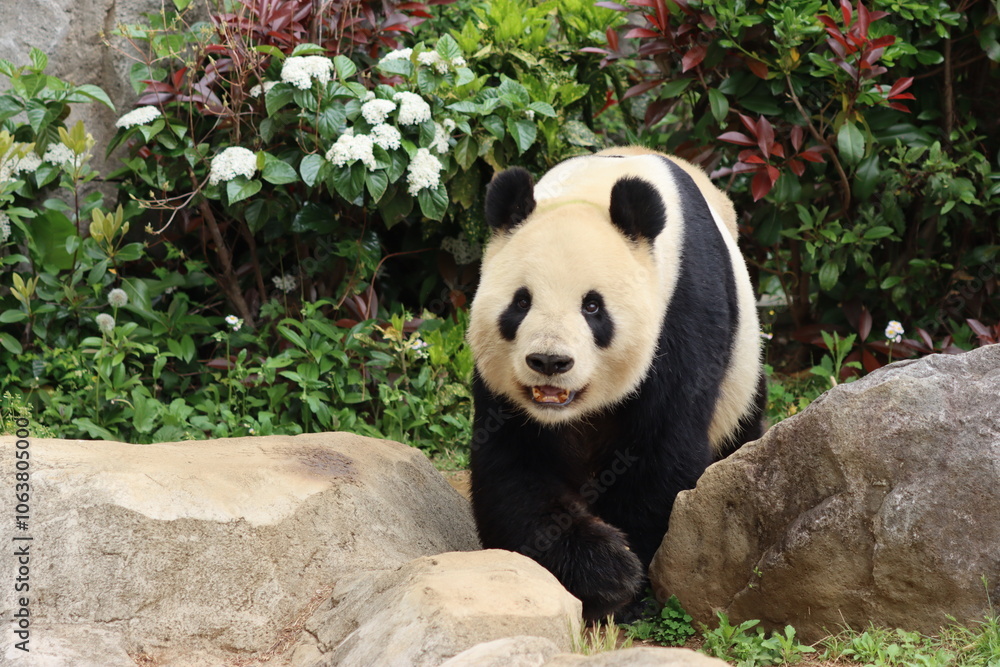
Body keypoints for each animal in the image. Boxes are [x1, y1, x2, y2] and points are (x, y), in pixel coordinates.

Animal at [466, 146, 766, 622]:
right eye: (521, 302)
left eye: (592, 306)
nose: (549, 361)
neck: (592, 190)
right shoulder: (504, 393)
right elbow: (515, 464)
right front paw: (602, 569)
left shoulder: (682, 311)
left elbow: (661, 452)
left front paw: (632, 579)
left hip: (742, 369)